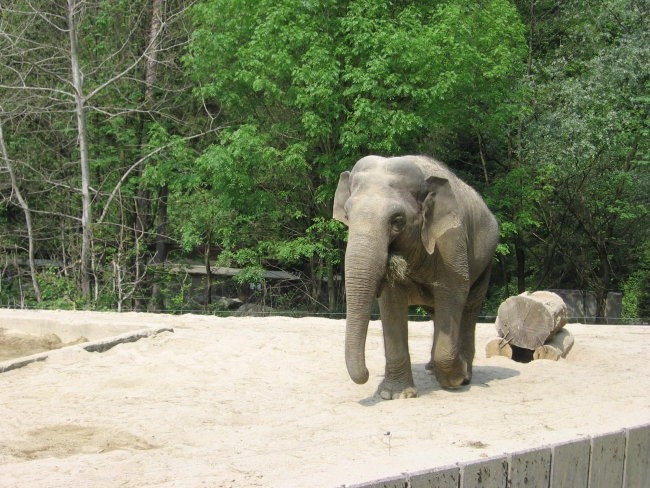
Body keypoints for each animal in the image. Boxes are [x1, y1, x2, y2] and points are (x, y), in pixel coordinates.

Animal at [332, 156, 498, 400]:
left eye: (397, 220)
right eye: (347, 215)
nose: (368, 374)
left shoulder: (451, 241)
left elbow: (453, 293)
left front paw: (455, 379)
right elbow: (391, 304)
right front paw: (394, 395)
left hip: (486, 260)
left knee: (469, 307)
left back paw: (464, 375)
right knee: (438, 312)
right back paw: (432, 369)